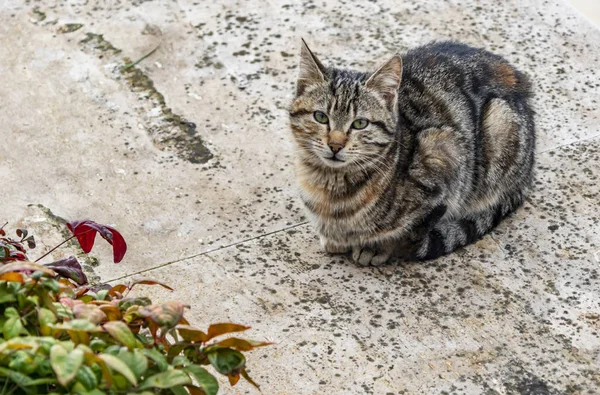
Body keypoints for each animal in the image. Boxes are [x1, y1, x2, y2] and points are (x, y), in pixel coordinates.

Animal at [290, 40, 536, 266]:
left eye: (360, 123)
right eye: (321, 117)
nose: (335, 145)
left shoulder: (445, 159)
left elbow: (411, 228)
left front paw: (375, 248)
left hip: (498, 125)